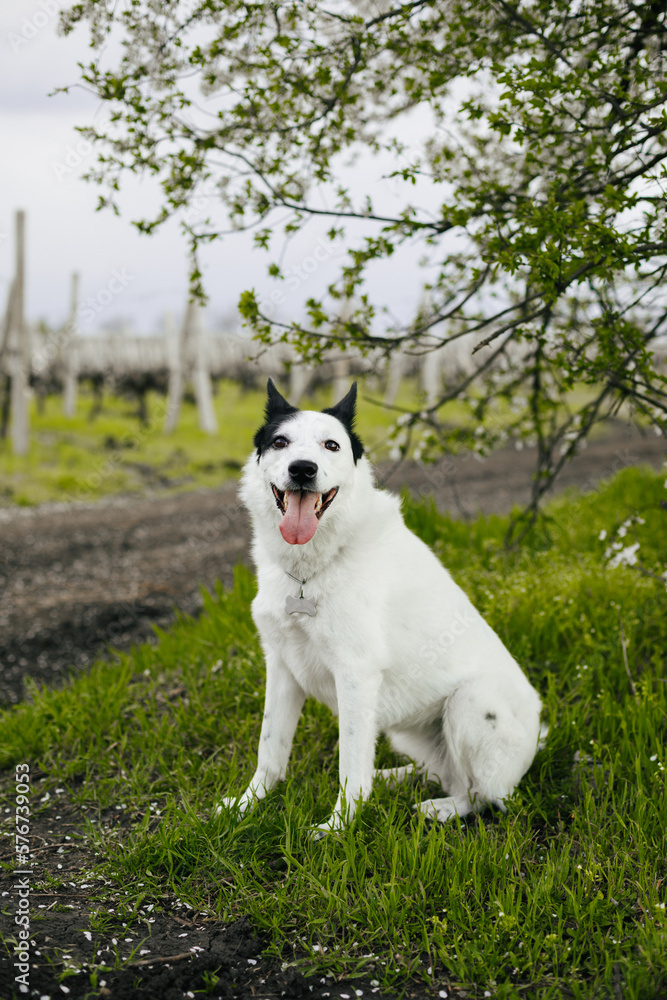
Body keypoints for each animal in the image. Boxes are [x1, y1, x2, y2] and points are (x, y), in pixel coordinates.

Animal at [223, 378, 544, 832]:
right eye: (280, 442)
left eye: (331, 445)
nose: (302, 469)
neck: (309, 571)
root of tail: (540, 734)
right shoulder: (282, 666)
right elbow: (270, 750)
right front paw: (247, 806)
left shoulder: (355, 675)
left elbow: (350, 764)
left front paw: (339, 828)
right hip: (405, 731)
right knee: (439, 772)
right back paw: (394, 778)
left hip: (469, 703)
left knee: (483, 796)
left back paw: (441, 808)